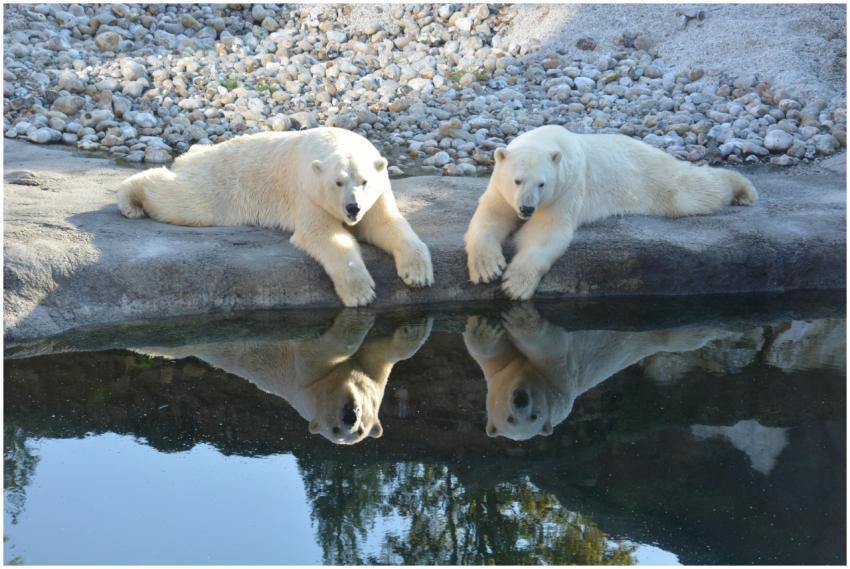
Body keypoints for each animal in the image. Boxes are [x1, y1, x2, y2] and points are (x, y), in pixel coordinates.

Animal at [116, 127, 433, 307]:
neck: (338, 142)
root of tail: (192, 154)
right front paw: (361, 292)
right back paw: (130, 199)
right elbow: (323, 234)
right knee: (184, 200)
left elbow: (385, 224)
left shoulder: (378, 195)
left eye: (364, 181)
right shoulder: (309, 190)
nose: (352, 208)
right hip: (222, 181)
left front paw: (417, 274)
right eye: (338, 182)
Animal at [133, 310, 433, 445]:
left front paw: (414, 327)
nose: (349, 417)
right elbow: (323, 348)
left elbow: (383, 355)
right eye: (334, 431)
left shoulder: (371, 376)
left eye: (359, 431)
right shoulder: (306, 379)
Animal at [463, 304, 731, 441]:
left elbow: (549, 345)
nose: (520, 399)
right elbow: (491, 351)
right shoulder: (499, 374)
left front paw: (520, 317)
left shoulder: (559, 380)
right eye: (510, 420)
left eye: (534, 417)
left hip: (659, 334)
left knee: (685, 335)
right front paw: (484, 326)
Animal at [465, 125, 758, 300]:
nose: (526, 208)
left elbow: (546, 232)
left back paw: (742, 189)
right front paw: (487, 268)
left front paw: (515, 284)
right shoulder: (500, 188)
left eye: (542, 183)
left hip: (654, 178)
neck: (547, 141)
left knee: (690, 192)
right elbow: (491, 217)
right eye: (517, 180)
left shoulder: (567, 187)